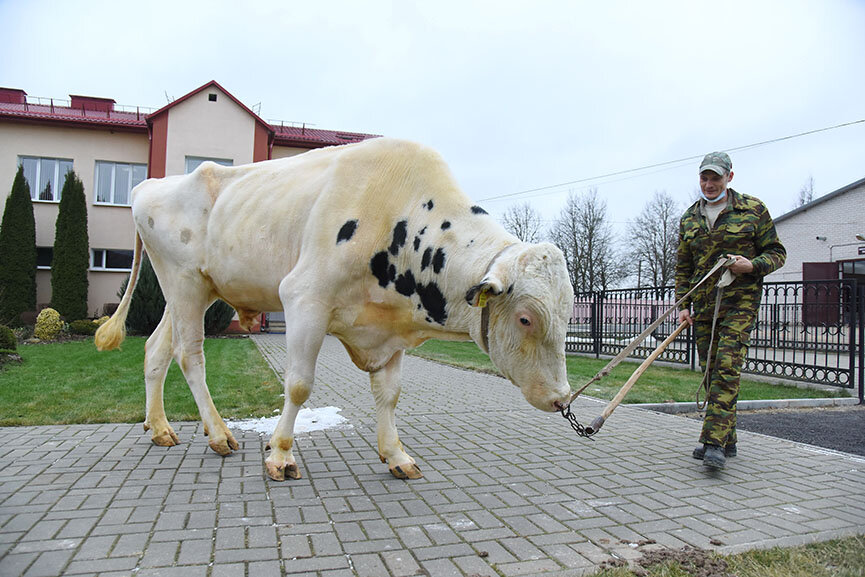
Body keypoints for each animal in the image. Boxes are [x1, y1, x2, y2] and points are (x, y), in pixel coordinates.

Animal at [96, 137, 572, 480]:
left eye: (568, 316)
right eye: (526, 318)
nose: (563, 398)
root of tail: (150, 184)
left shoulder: (390, 325)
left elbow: (390, 394)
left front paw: (396, 454)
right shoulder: (304, 297)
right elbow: (299, 386)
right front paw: (279, 454)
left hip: (191, 290)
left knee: (157, 349)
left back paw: (160, 428)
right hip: (184, 282)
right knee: (190, 355)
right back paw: (218, 435)